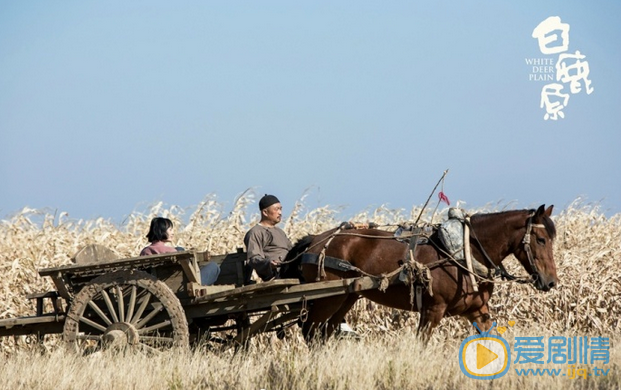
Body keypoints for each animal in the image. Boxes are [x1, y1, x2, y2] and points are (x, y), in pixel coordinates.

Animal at [284, 204, 560, 342]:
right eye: (541, 239)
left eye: (552, 238)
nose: (551, 282)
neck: (464, 251)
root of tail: (315, 241)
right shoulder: (432, 309)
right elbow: (422, 343)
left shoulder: (477, 311)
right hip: (327, 299)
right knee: (310, 331)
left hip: (346, 298)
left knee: (324, 332)